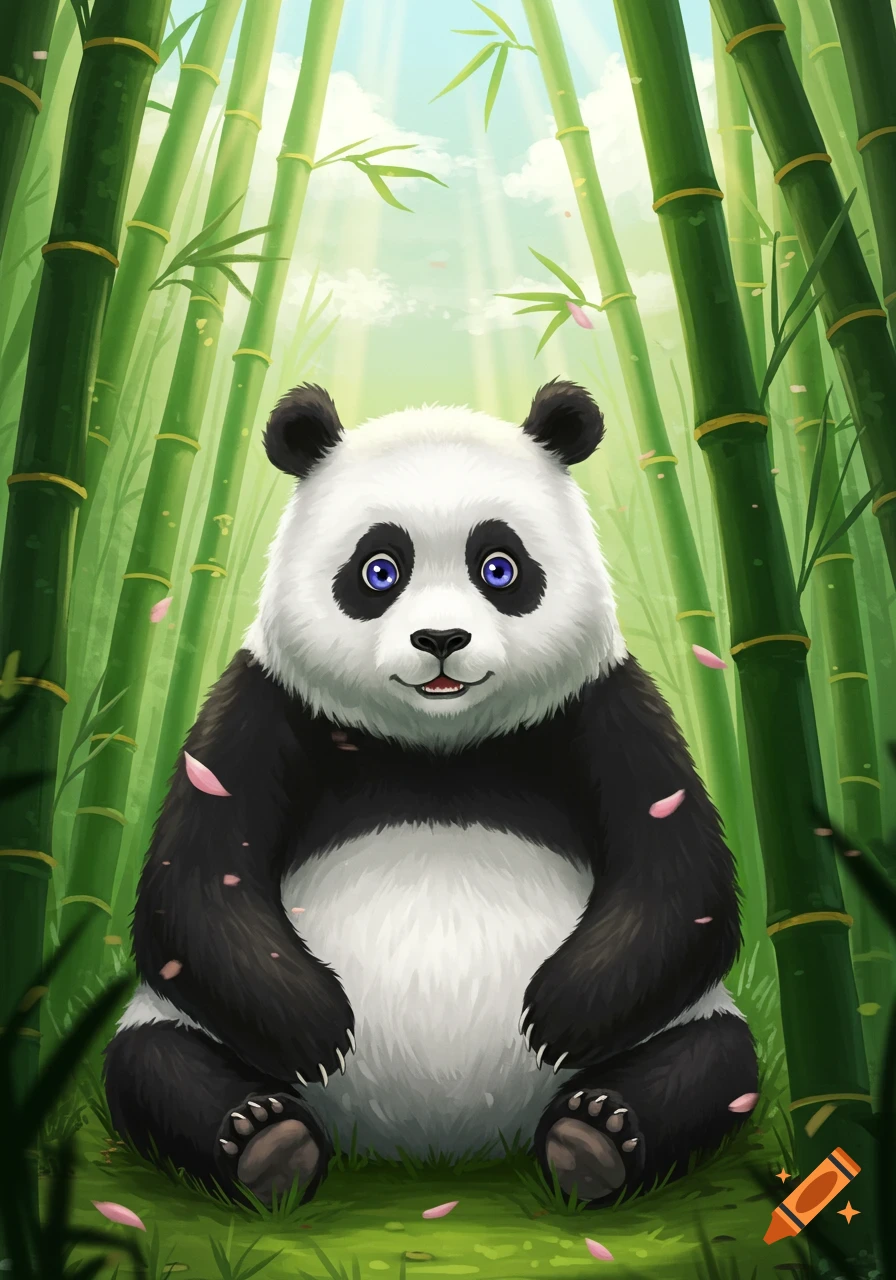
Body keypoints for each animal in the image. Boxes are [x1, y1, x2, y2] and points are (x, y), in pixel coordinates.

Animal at [104, 379, 758, 1208]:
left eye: (500, 568)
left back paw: (595, 1136)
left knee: (717, 1061)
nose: (441, 640)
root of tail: (435, 1148)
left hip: (689, 1022)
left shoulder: (605, 708)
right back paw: (266, 1142)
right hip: (169, 1023)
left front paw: (559, 1015)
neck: (438, 747)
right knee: (152, 1064)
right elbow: (193, 883)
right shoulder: (262, 707)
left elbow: (679, 876)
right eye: (379, 570)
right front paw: (319, 1027)